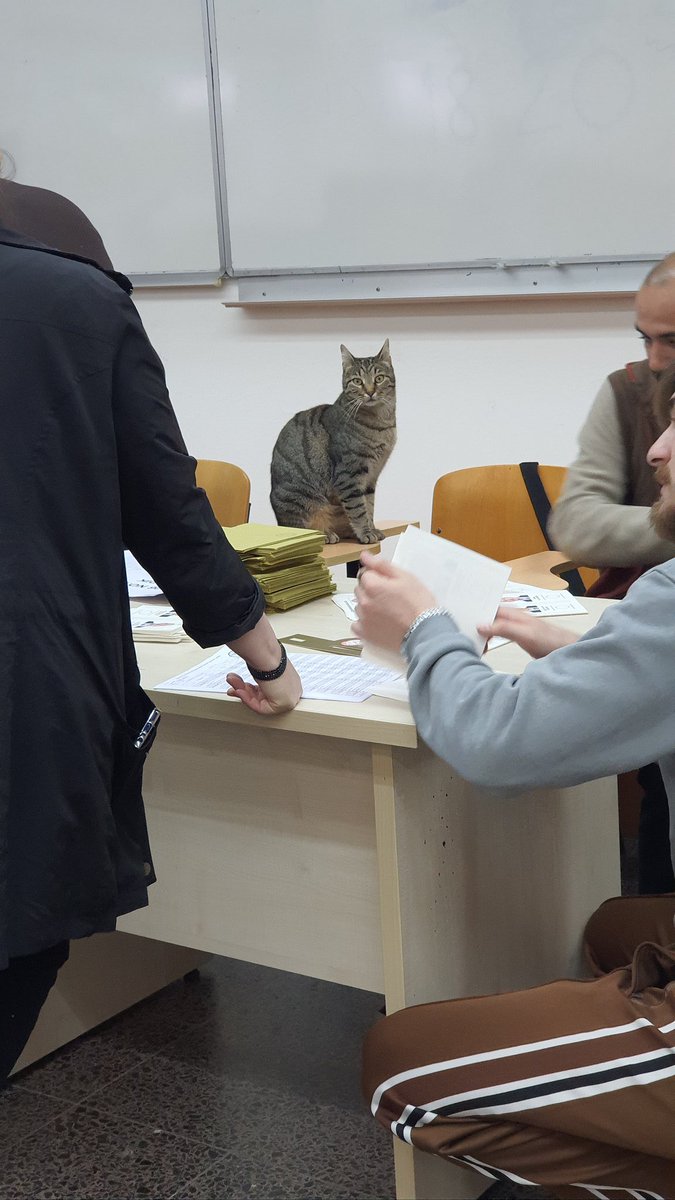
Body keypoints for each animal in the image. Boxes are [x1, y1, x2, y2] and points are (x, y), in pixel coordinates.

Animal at [267, 340, 393, 542]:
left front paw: (372, 529)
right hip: (301, 498)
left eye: (379, 378)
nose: (370, 392)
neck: (381, 424)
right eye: (357, 381)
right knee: (299, 526)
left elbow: (369, 506)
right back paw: (323, 534)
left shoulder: (371, 477)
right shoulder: (349, 474)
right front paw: (365, 533)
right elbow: (359, 509)